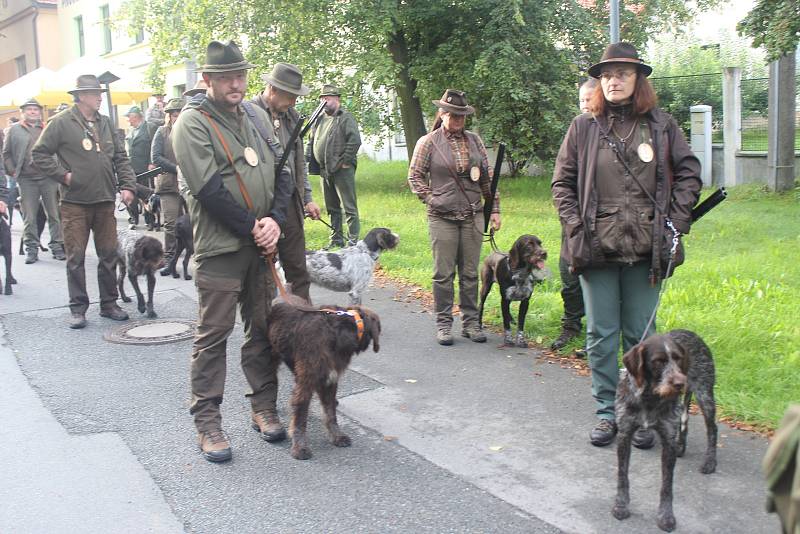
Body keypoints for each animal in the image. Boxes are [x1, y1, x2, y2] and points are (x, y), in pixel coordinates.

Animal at [268, 300, 382, 462]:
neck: (338, 333)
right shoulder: (306, 382)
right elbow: (300, 418)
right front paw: (299, 447)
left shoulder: (329, 381)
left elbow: (330, 412)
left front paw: (337, 436)